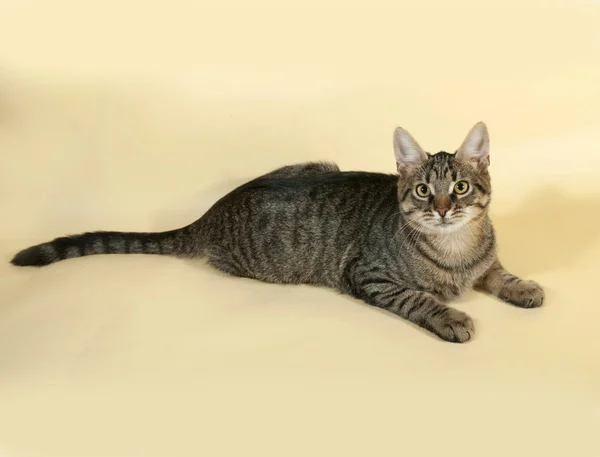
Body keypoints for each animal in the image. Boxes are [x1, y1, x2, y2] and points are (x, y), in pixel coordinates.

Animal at [10, 122, 544, 342]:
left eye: (460, 187)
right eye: (421, 191)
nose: (441, 208)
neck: (455, 249)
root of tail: (213, 210)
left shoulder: (486, 260)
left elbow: (499, 272)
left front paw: (523, 287)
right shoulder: (367, 275)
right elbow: (419, 298)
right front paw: (450, 316)